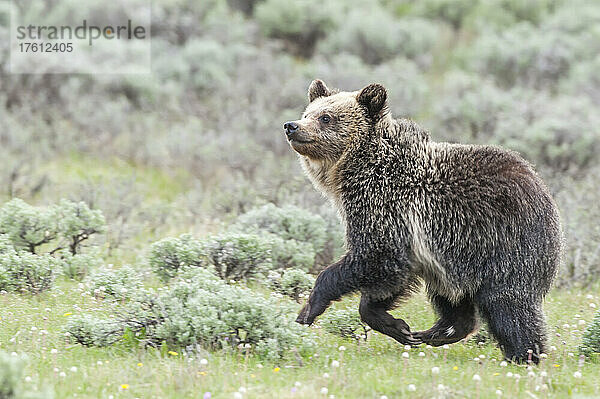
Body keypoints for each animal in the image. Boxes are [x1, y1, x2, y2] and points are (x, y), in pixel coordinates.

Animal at [286, 79, 564, 364]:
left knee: (508, 303)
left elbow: (376, 257)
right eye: (307, 113)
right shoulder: (413, 240)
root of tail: (545, 192)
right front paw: (399, 327)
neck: (359, 168)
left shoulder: (383, 207)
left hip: (502, 243)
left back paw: (525, 354)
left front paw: (308, 310)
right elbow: (392, 277)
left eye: (326, 117)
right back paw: (438, 332)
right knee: (454, 297)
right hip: (453, 259)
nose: (292, 126)